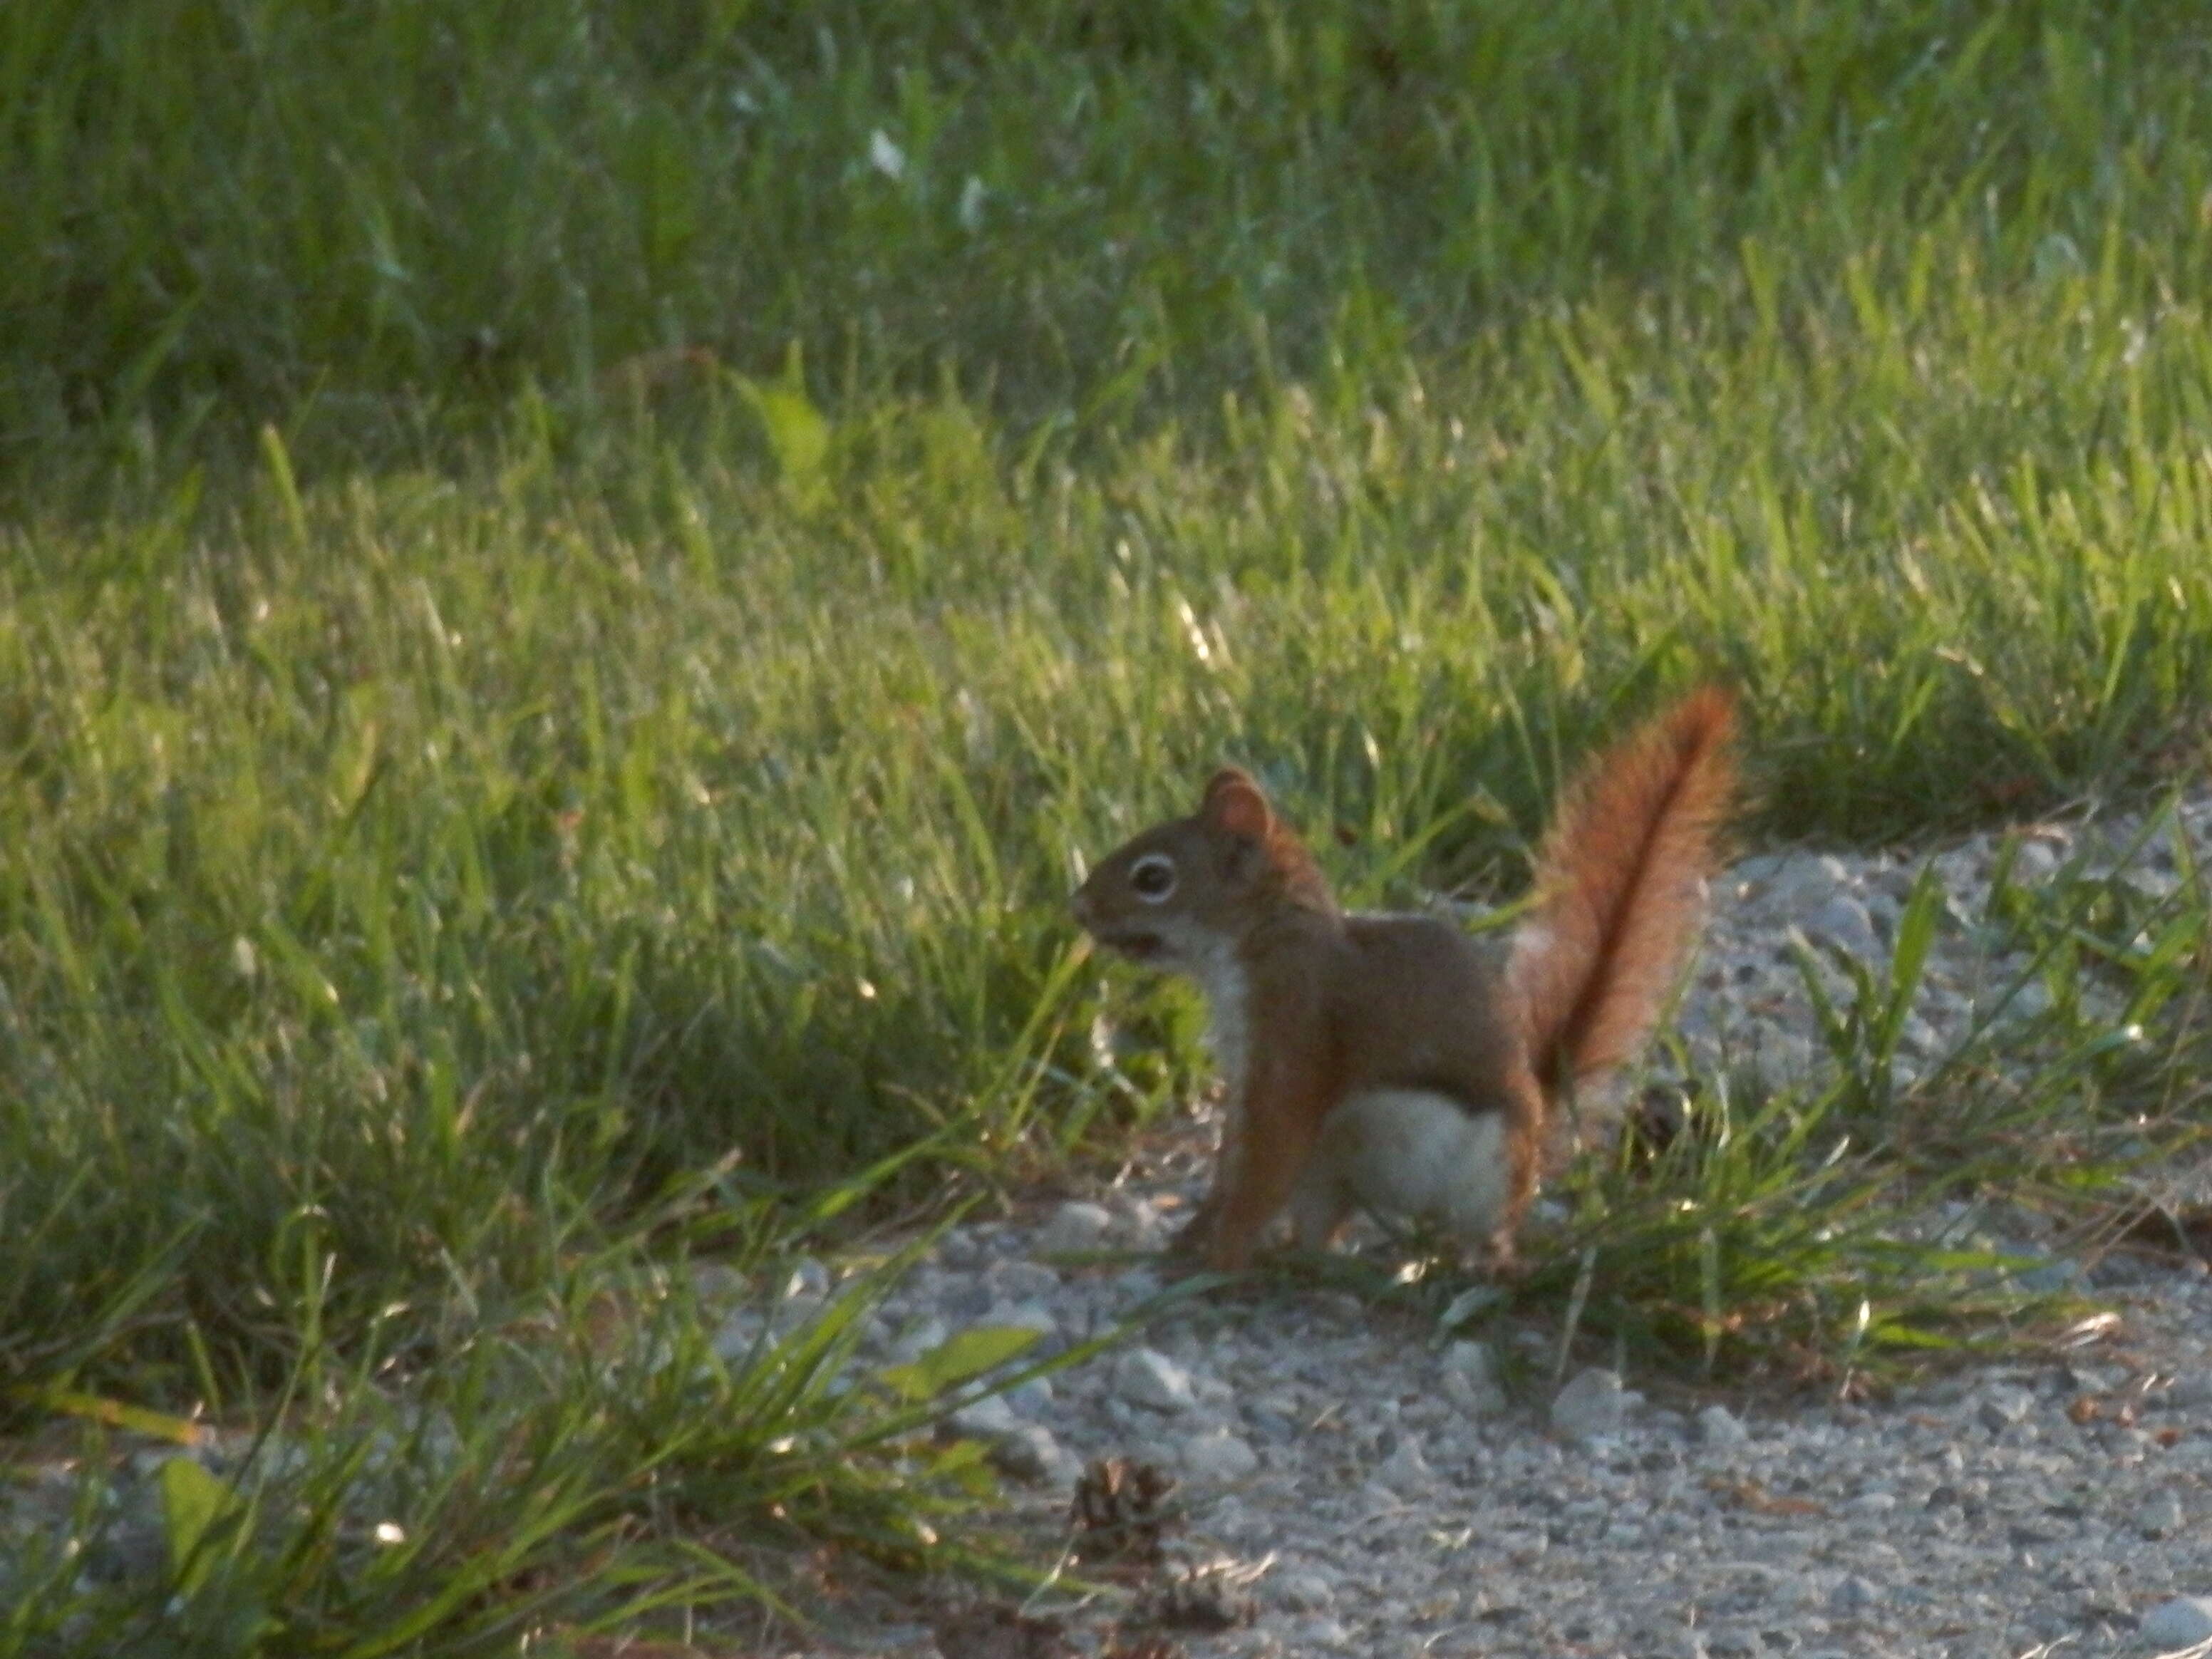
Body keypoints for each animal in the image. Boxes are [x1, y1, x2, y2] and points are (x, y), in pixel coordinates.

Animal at [1075, 690, 1742, 1273]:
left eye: (1152, 878)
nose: (1076, 907)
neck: (1257, 947)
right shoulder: (1247, 1070)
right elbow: (1234, 1160)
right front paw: (1194, 1237)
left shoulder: (1299, 1026)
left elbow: (1266, 1154)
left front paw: (1224, 1253)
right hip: (1326, 1174)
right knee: (1322, 1228)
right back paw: (1307, 1260)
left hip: (1490, 1172)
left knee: (1492, 1227)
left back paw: (1489, 1265)